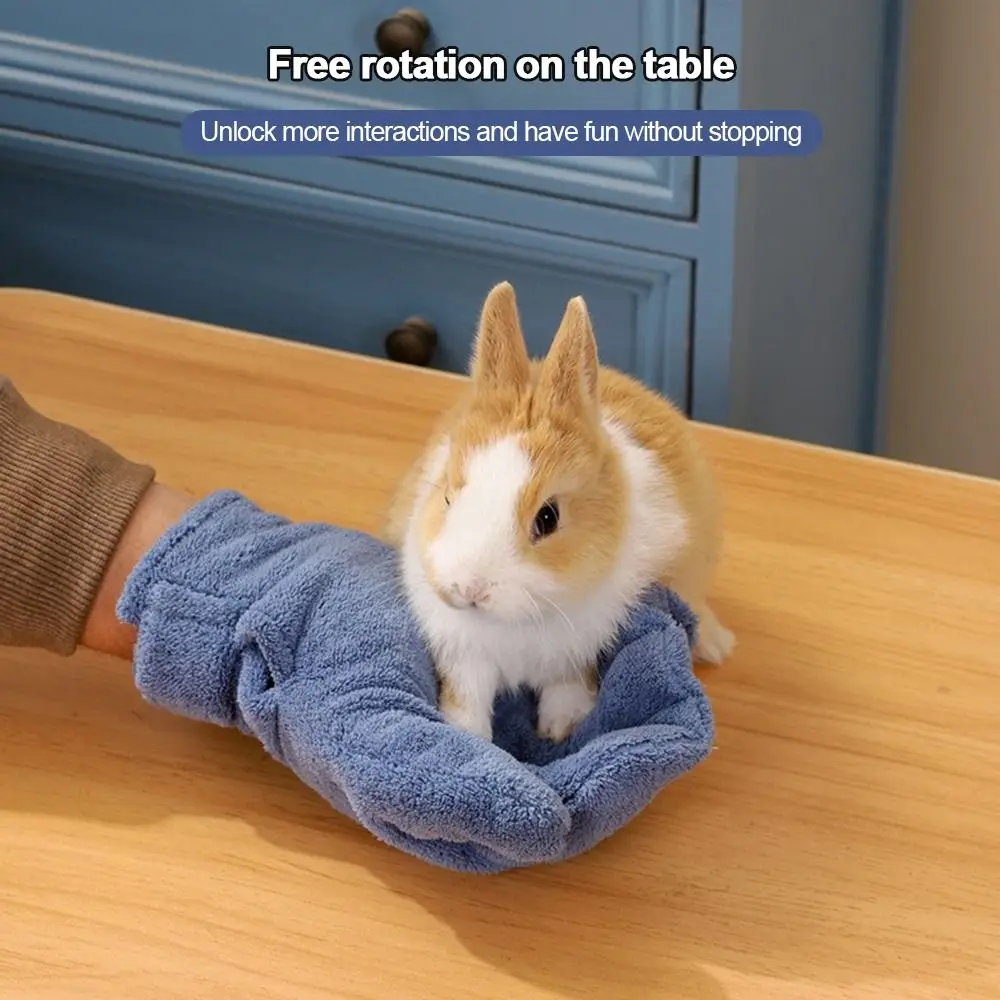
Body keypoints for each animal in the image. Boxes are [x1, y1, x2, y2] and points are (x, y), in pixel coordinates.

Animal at [383, 281, 734, 743]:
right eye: (447, 497)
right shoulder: (464, 655)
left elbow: (569, 684)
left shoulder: (578, 650)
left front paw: (560, 730)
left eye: (548, 518)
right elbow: (466, 697)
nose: (470, 589)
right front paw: (468, 737)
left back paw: (717, 645)